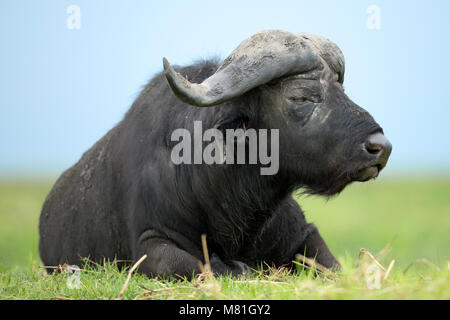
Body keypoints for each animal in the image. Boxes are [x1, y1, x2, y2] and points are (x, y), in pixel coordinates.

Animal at [38, 30, 390, 278]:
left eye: (341, 90)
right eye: (302, 97)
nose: (380, 147)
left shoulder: (303, 233)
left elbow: (330, 265)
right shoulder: (151, 245)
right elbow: (200, 266)